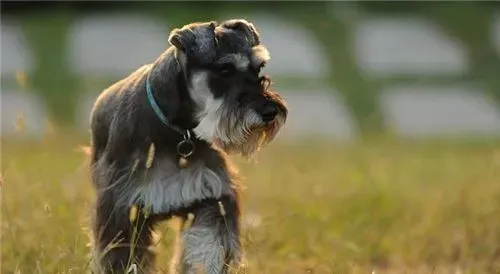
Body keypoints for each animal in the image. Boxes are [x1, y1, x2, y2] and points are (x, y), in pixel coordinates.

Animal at [88, 19, 288, 274]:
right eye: (225, 69)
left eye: (258, 68)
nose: (270, 111)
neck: (178, 134)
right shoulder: (123, 208)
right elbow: (123, 256)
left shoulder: (212, 199)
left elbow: (208, 247)